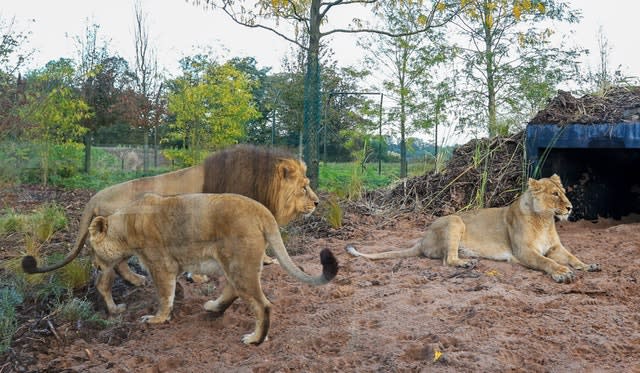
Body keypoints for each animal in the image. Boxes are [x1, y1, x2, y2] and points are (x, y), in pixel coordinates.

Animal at [21, 145, 318, 284]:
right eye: (304, 186)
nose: (317, 202)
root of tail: (96, 196)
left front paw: (268, 260)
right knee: (116, 263)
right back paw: (136, 280)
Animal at [89, 193, 340, 344]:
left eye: (91, 248)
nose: (94, 265)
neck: (125, 227)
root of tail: (262, 210)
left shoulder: (161, 266)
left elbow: (164, 296)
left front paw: (157, 319)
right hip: (232, 263)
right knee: (233, 290)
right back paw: (213, 307)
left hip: (239, 265)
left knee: (262, 305)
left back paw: (255, 339)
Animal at [344, 174, 600, 282]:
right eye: (555, 194)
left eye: (564, 192)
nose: (570, 207)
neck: (545, 221)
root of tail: (422, 239)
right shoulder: (523, 252)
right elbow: (546, 261)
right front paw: (561, 273)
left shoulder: (556, 247)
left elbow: (573, 257)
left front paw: (588, 266)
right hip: (455, 220)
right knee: (447, 260)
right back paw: (465, 264)